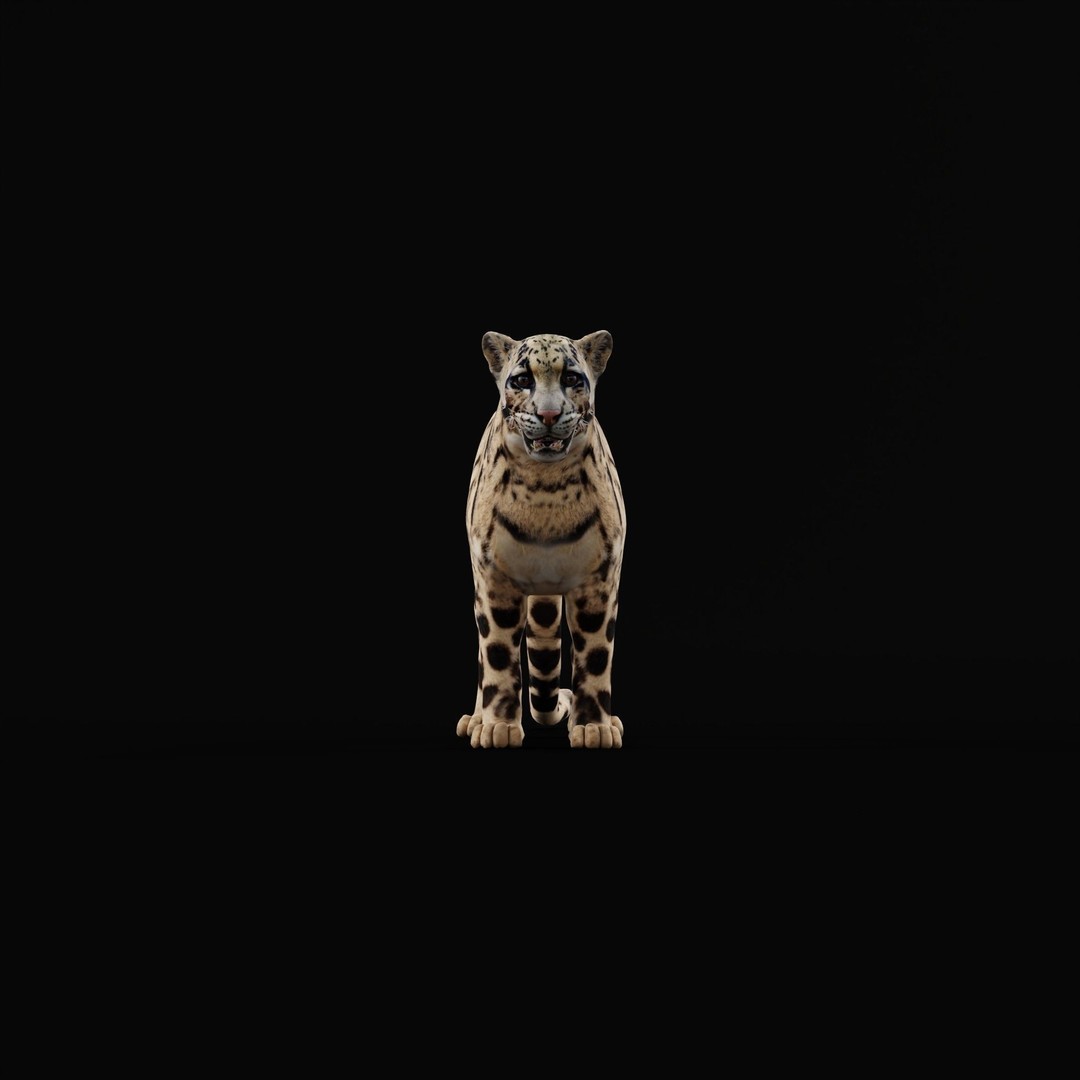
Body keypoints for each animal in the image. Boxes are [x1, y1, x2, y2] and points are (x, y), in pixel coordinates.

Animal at [457, 330, 626, 749]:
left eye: (571, 378)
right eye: (521, 380)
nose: (548, 415)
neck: (545, 489)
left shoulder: (599, 578)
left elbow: (595, 655)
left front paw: (594, 728)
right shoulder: (494, 578)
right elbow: (498, 655)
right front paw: (498, 727)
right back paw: (475, 719)